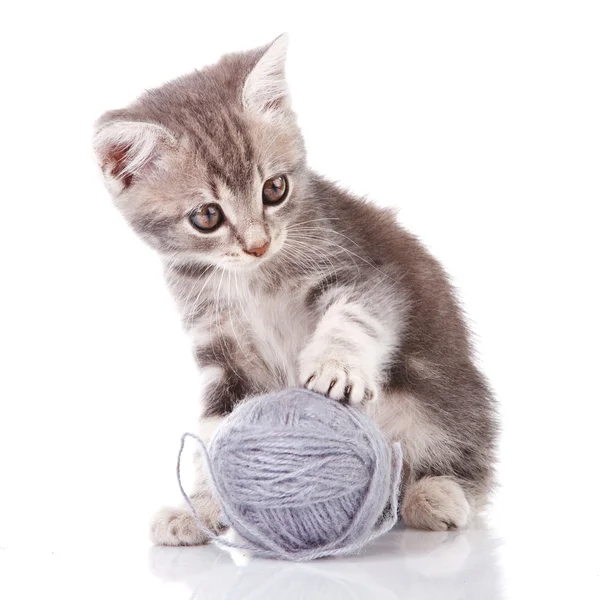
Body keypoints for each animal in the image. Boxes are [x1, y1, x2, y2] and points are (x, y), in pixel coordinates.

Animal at [92, 36, 496, 544]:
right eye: (207, 216)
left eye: (275, 189)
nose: (258, 244)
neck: (251, 279)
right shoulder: (220, 348)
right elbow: (217, 428)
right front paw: (201, 506)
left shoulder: (366, 271)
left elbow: (354, 316)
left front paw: (335, 366)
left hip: (438, 403)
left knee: (459, 457)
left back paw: (436, 492)